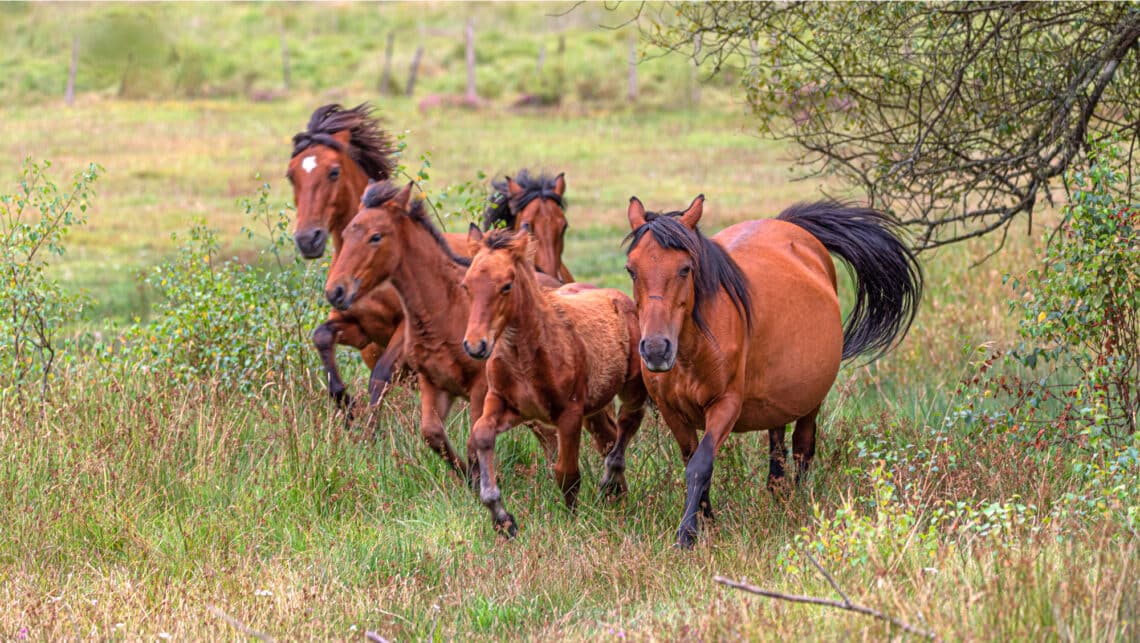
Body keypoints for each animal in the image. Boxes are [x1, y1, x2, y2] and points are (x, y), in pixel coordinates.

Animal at [323, 181, 615, 476]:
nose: (336, 290)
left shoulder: (480, 390)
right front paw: (465, 477)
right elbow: (433, 435)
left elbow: (474, 442)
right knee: (552, 438)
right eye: (345, 234)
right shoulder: (434, 383)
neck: (445, 308)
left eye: (375, 237)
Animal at [458, 226, 647, 538]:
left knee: (627, 423)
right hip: (593, 408)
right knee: (608, 436)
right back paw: (616, 494)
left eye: (506, 286)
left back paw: (610, 484)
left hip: (631, 389)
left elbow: (566, 472)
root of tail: (621, 298)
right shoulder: (508, 405)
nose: (475, 346)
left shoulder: (569, 413)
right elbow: (482, 434)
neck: (524, 357)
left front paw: (571, 522)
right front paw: (502, 518)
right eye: (466, 286)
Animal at [629, 196, 921, 547]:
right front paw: (707, 520)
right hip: (779, 396)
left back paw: (796, 502)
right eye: (631, 270)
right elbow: (692, 460)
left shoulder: (725, 405)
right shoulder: (672, 412)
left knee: (802, 448)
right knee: (778, 444)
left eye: (685, 268)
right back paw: (778, 493)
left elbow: (700, 464)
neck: (693, 350)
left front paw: (687, 534)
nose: (656, 349)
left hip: (811, 400)